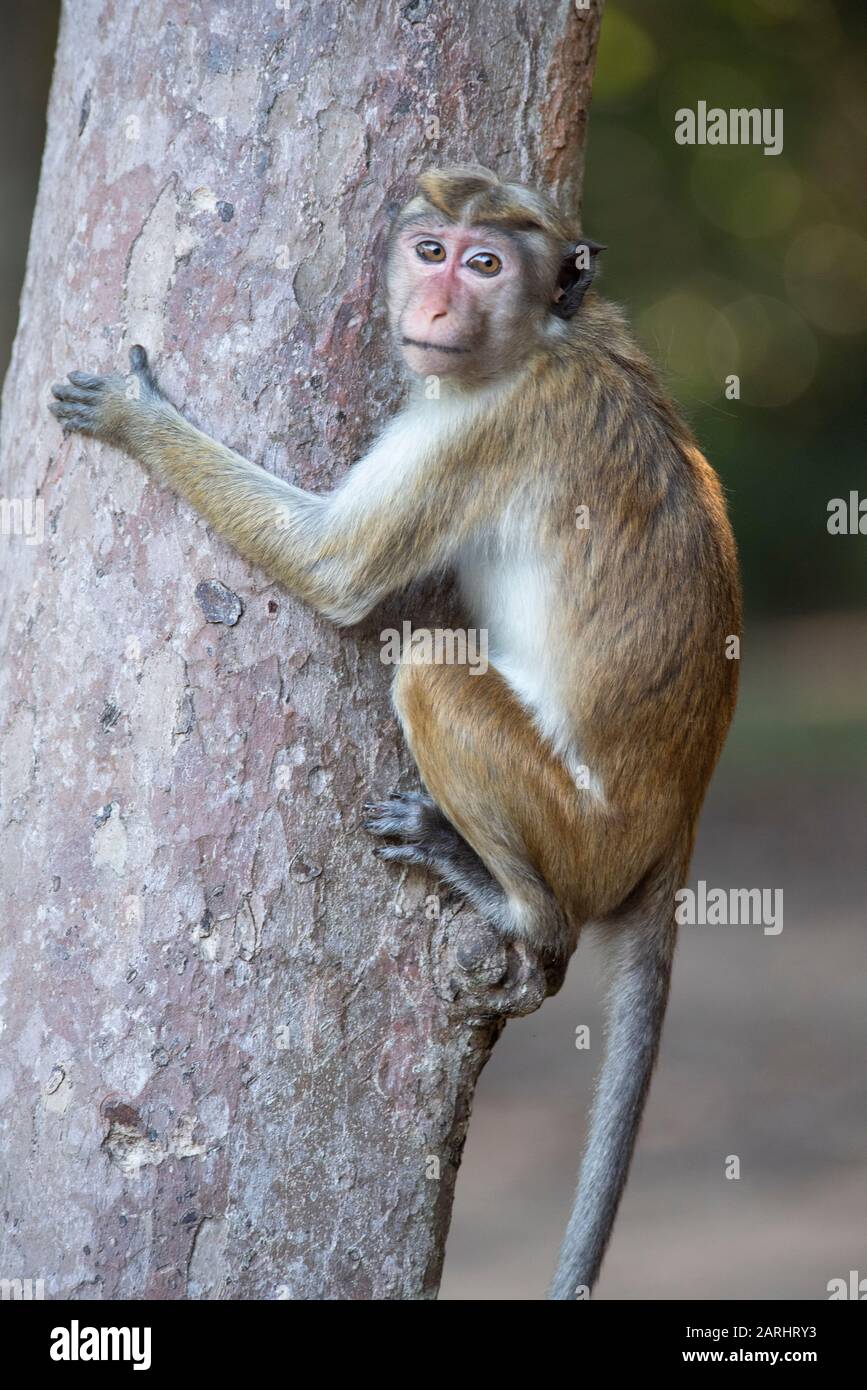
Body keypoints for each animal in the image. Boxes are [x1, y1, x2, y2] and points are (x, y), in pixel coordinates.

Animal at [50, 164, 740, 1300]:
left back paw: (516, 907)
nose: (437, 303)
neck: (543, 343)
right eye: (432, 251)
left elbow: (332, 567)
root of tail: (679, 817)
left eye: (486, 263)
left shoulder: (476, 429)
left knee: (429, 672)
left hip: (583, 834)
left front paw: (134, 417)